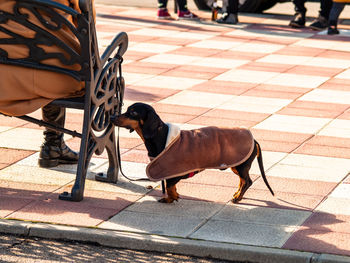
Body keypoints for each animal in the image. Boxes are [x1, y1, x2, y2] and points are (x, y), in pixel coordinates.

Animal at [111, 103, 274, 204]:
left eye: (133, 112)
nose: (112, 117)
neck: (160, 136)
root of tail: (254, 139)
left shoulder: (174, 172)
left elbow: (169, 186)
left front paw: (170, 198)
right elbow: (170, 186)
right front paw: (174, 196)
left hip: (240, 165)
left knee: (247, 181)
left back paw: (238, 197)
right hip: (237, 166)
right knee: (242, 181)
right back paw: (237, 194)